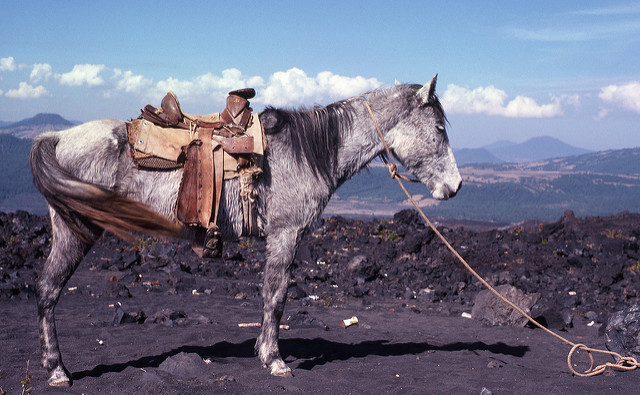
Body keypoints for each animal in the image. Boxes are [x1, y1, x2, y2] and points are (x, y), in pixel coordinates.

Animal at [30, 74, 462, 386]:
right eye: (439, 130)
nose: (455, 186)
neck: (308, 152)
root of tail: (57, 137)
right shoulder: (285, 234)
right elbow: (276, 295)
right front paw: (274, 359)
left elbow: (271, 295)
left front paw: (263, 350)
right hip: (75, 231)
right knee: (48, 290)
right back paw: (57, 371)